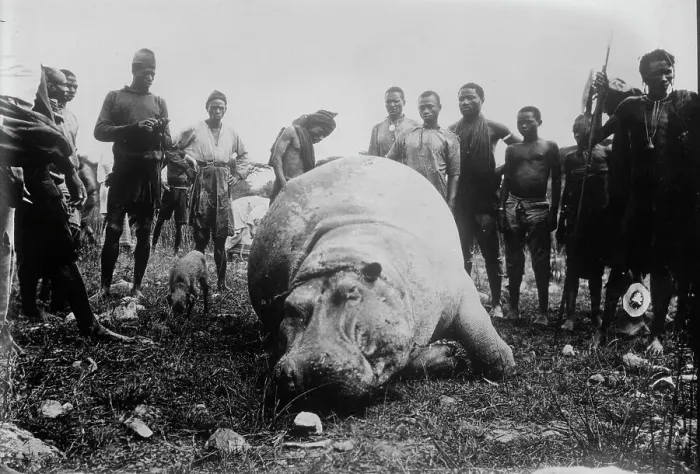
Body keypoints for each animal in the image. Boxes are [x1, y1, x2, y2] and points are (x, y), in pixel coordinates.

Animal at [248, 156, 516, 409]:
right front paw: (448, 357)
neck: (347, 252)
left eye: (351, 292)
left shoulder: (457, 288)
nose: (302, 369)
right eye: (289, 308)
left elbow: (481, 332)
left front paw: (505, 366)